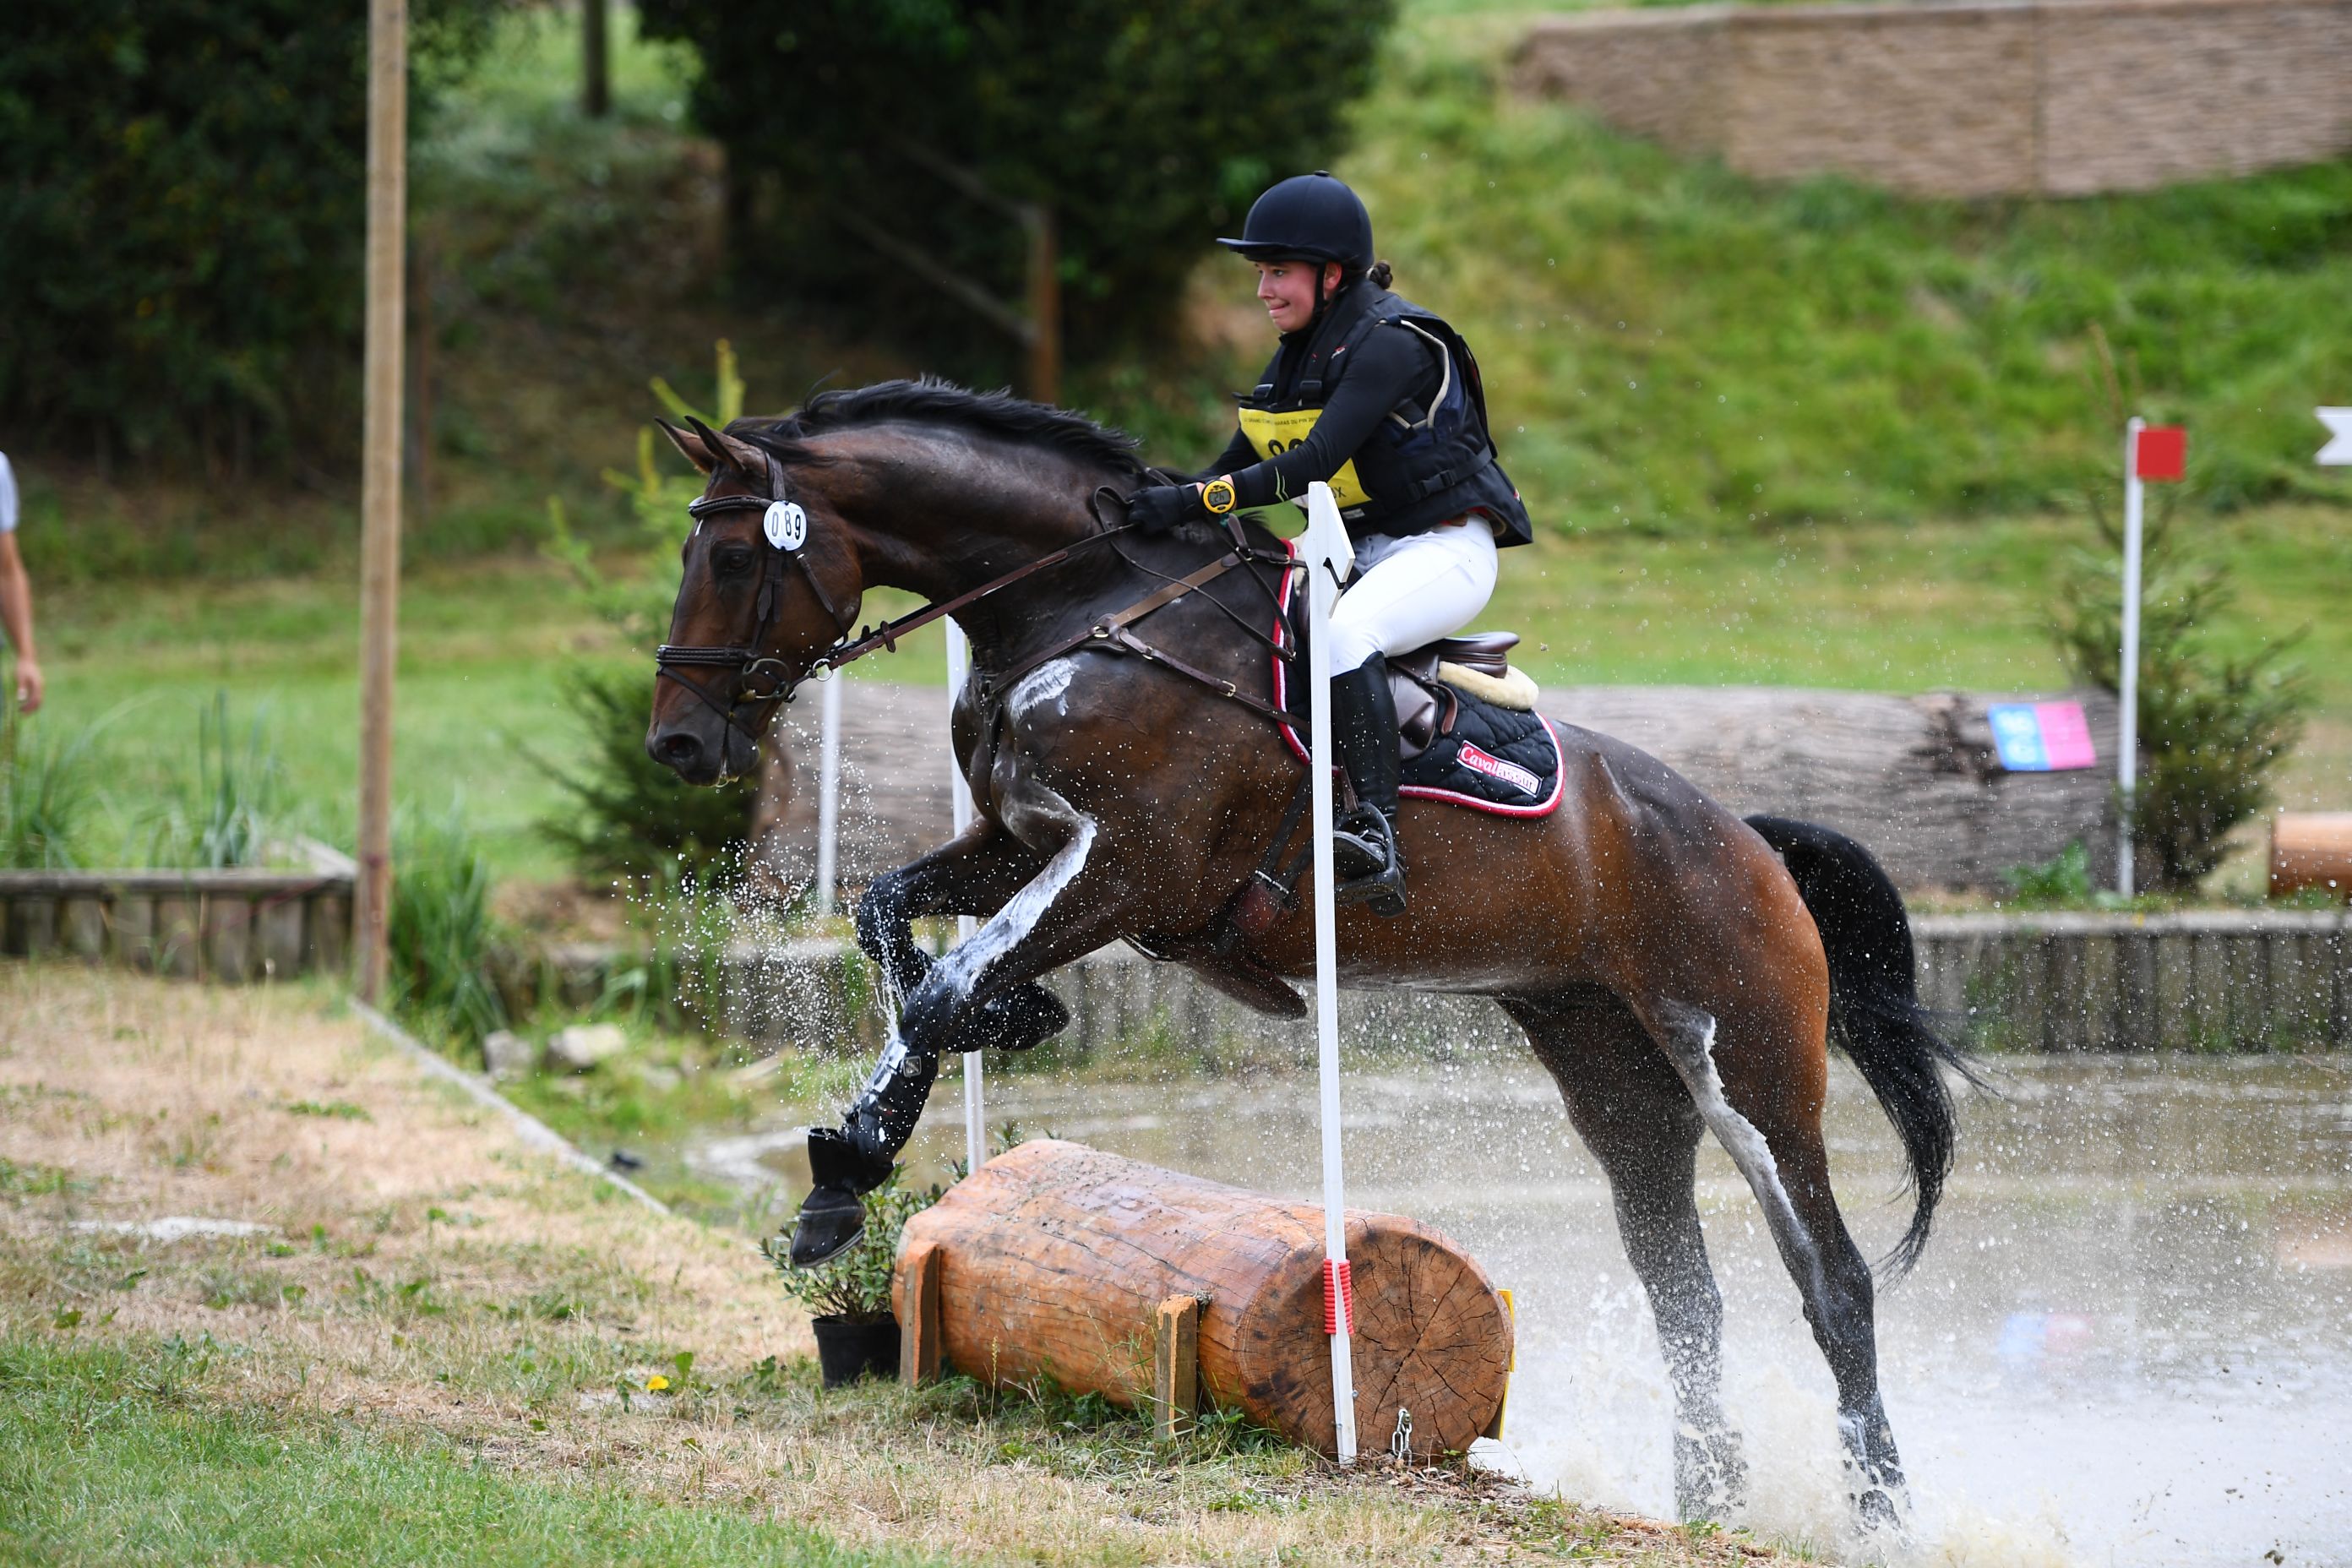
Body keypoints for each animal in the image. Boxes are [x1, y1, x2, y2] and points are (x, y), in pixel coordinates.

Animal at [644, 376, 1966, 1523]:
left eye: (730, 559)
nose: (677, 746)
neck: (1078, 608)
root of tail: (1749, 840)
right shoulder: (1022, 843)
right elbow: (888, 915)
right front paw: (945, 1081)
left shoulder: (1129, 867)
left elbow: (947, 984)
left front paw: (849, 1168)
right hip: (1613, 1069)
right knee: (1681, 1288)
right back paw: (1708, 1499)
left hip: (1749, 1061)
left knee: (1833, 1282)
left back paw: (1879, 1511)